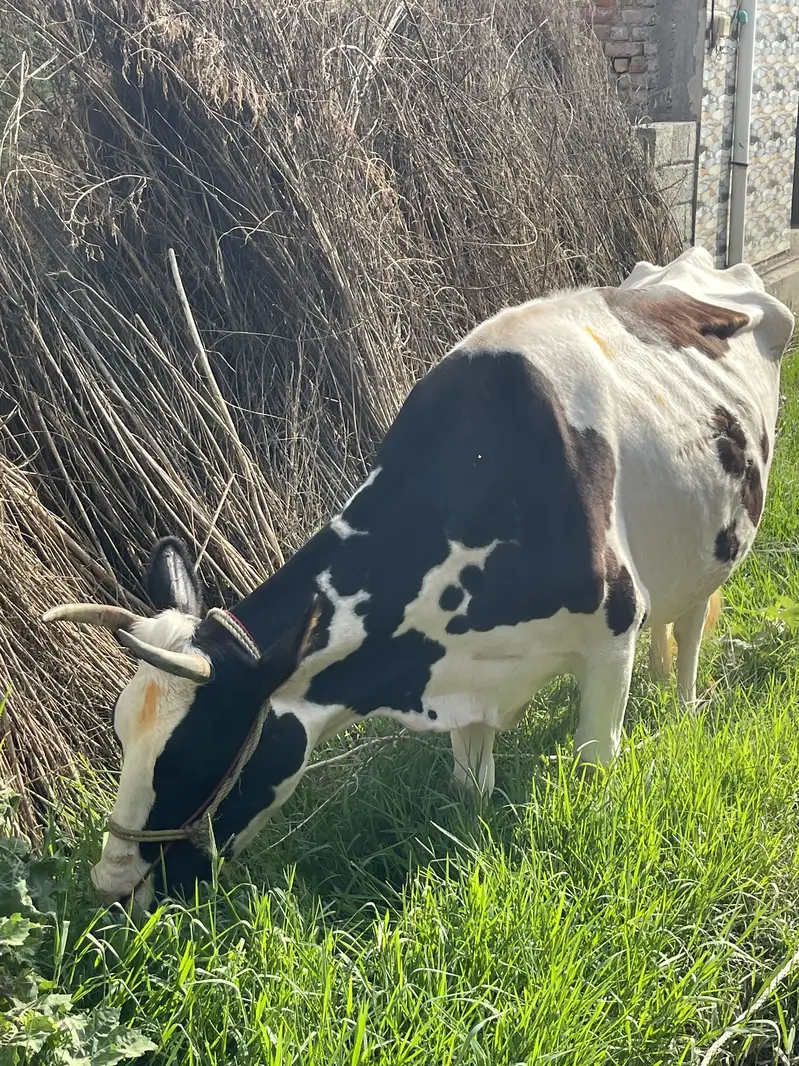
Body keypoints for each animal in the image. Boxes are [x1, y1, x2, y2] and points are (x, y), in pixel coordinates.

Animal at [43, 246, 795, 909]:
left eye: (192, 758)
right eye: (121, 737)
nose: (112, 887)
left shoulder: (613, 635)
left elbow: (592, 765)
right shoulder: (466, 675)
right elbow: (470, 790)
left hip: (716, 545)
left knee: (690, 628)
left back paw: (682, 709)